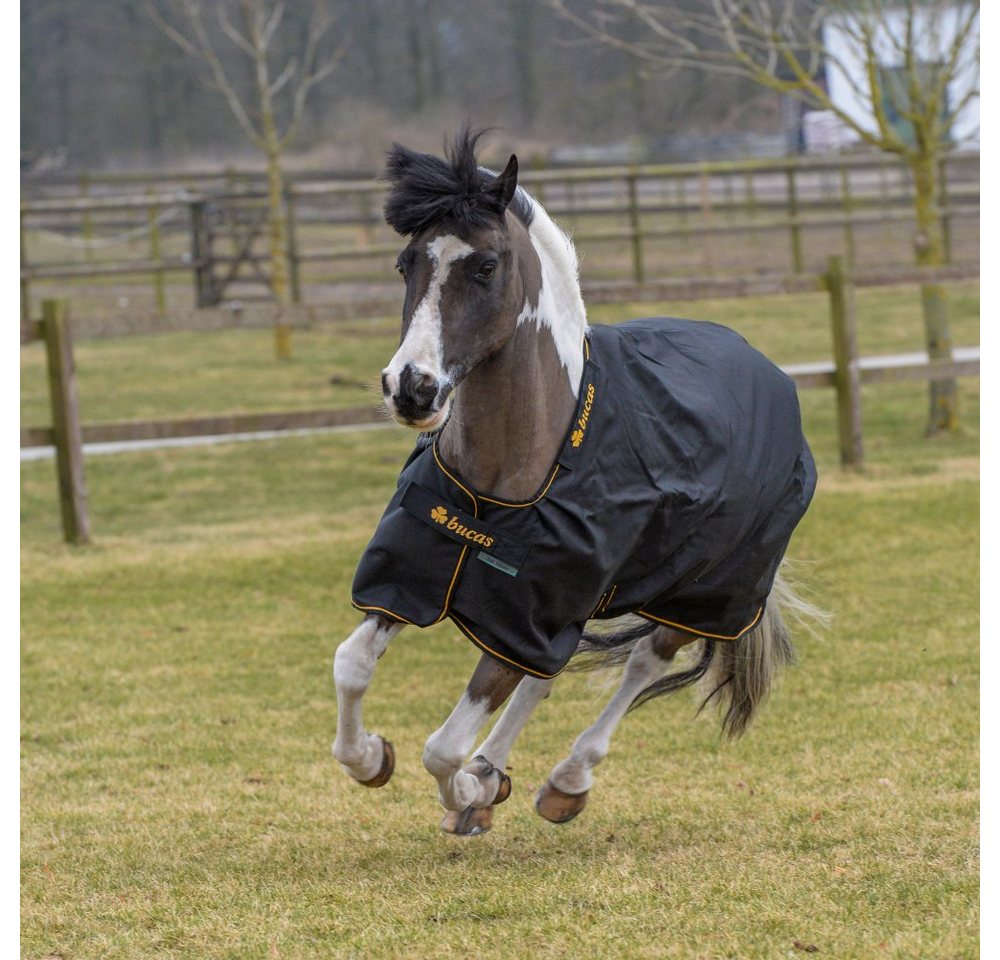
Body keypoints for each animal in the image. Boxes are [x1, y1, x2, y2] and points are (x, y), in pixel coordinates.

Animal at [332, 129, 819, 835]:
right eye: (406, 264)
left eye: (485, 266)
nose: (412, 389)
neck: (498, 491)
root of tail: (766, 369)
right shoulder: (420, 583)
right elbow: (353, 666)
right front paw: (375, 759)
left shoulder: (523, 619)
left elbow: (442, 748)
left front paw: (467, 793)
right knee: (546, 677)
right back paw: (495, 774)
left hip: (705, 592)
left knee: (644, 662)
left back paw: (564, 781)